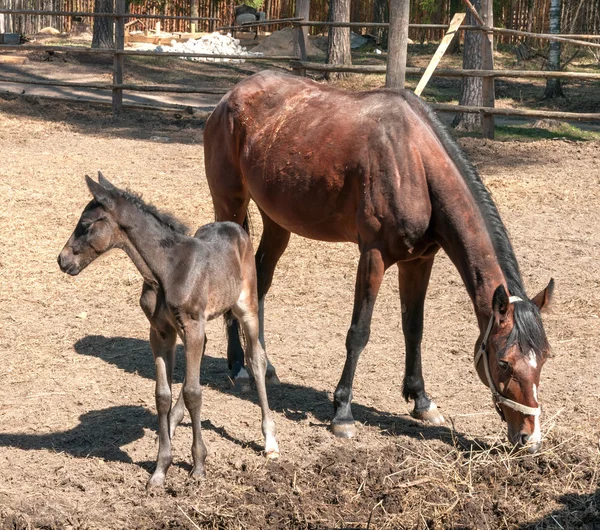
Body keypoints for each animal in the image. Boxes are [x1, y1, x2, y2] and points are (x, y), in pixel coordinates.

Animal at [58, 173, 278, 486]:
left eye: (86, 224)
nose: (63, 260)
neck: (166, 270)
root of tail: (235, 226)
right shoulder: (161, 332)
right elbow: (163, 394)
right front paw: (161, 468)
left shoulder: (192, 325)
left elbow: (193, 392)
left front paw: (198, 466)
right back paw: (173, 423)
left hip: (245, 306)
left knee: (256, 360)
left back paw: (270, 441)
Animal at [204, 69, 556, 450]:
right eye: (504, 363)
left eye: (544, 358)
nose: (530, 437)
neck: (414, 162)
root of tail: (231, 95)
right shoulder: (372, 257)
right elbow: (359, 332)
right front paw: (342, 411)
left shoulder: (418, 261)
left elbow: (414, 328)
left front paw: (421, 400)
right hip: (230, 205)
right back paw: (238, 365)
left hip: (277, 221)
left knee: (260, 282)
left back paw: (264, 365)